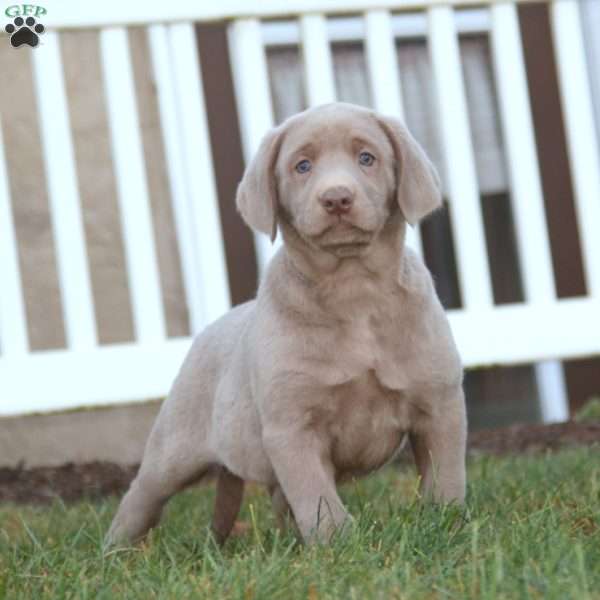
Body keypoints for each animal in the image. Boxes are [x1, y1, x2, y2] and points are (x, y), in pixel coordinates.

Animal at [105, 102, 466, 544]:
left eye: (367, 158)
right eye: (302, 165)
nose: (336, 198)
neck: (353, 290)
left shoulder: (440, 403)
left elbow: (445, 477)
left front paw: (447, 523)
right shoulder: (291, 426)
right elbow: (315, 493)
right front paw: (337, 544)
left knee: (278, 499)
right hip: (173, 447)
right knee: (142, 495)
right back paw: (115, 549)